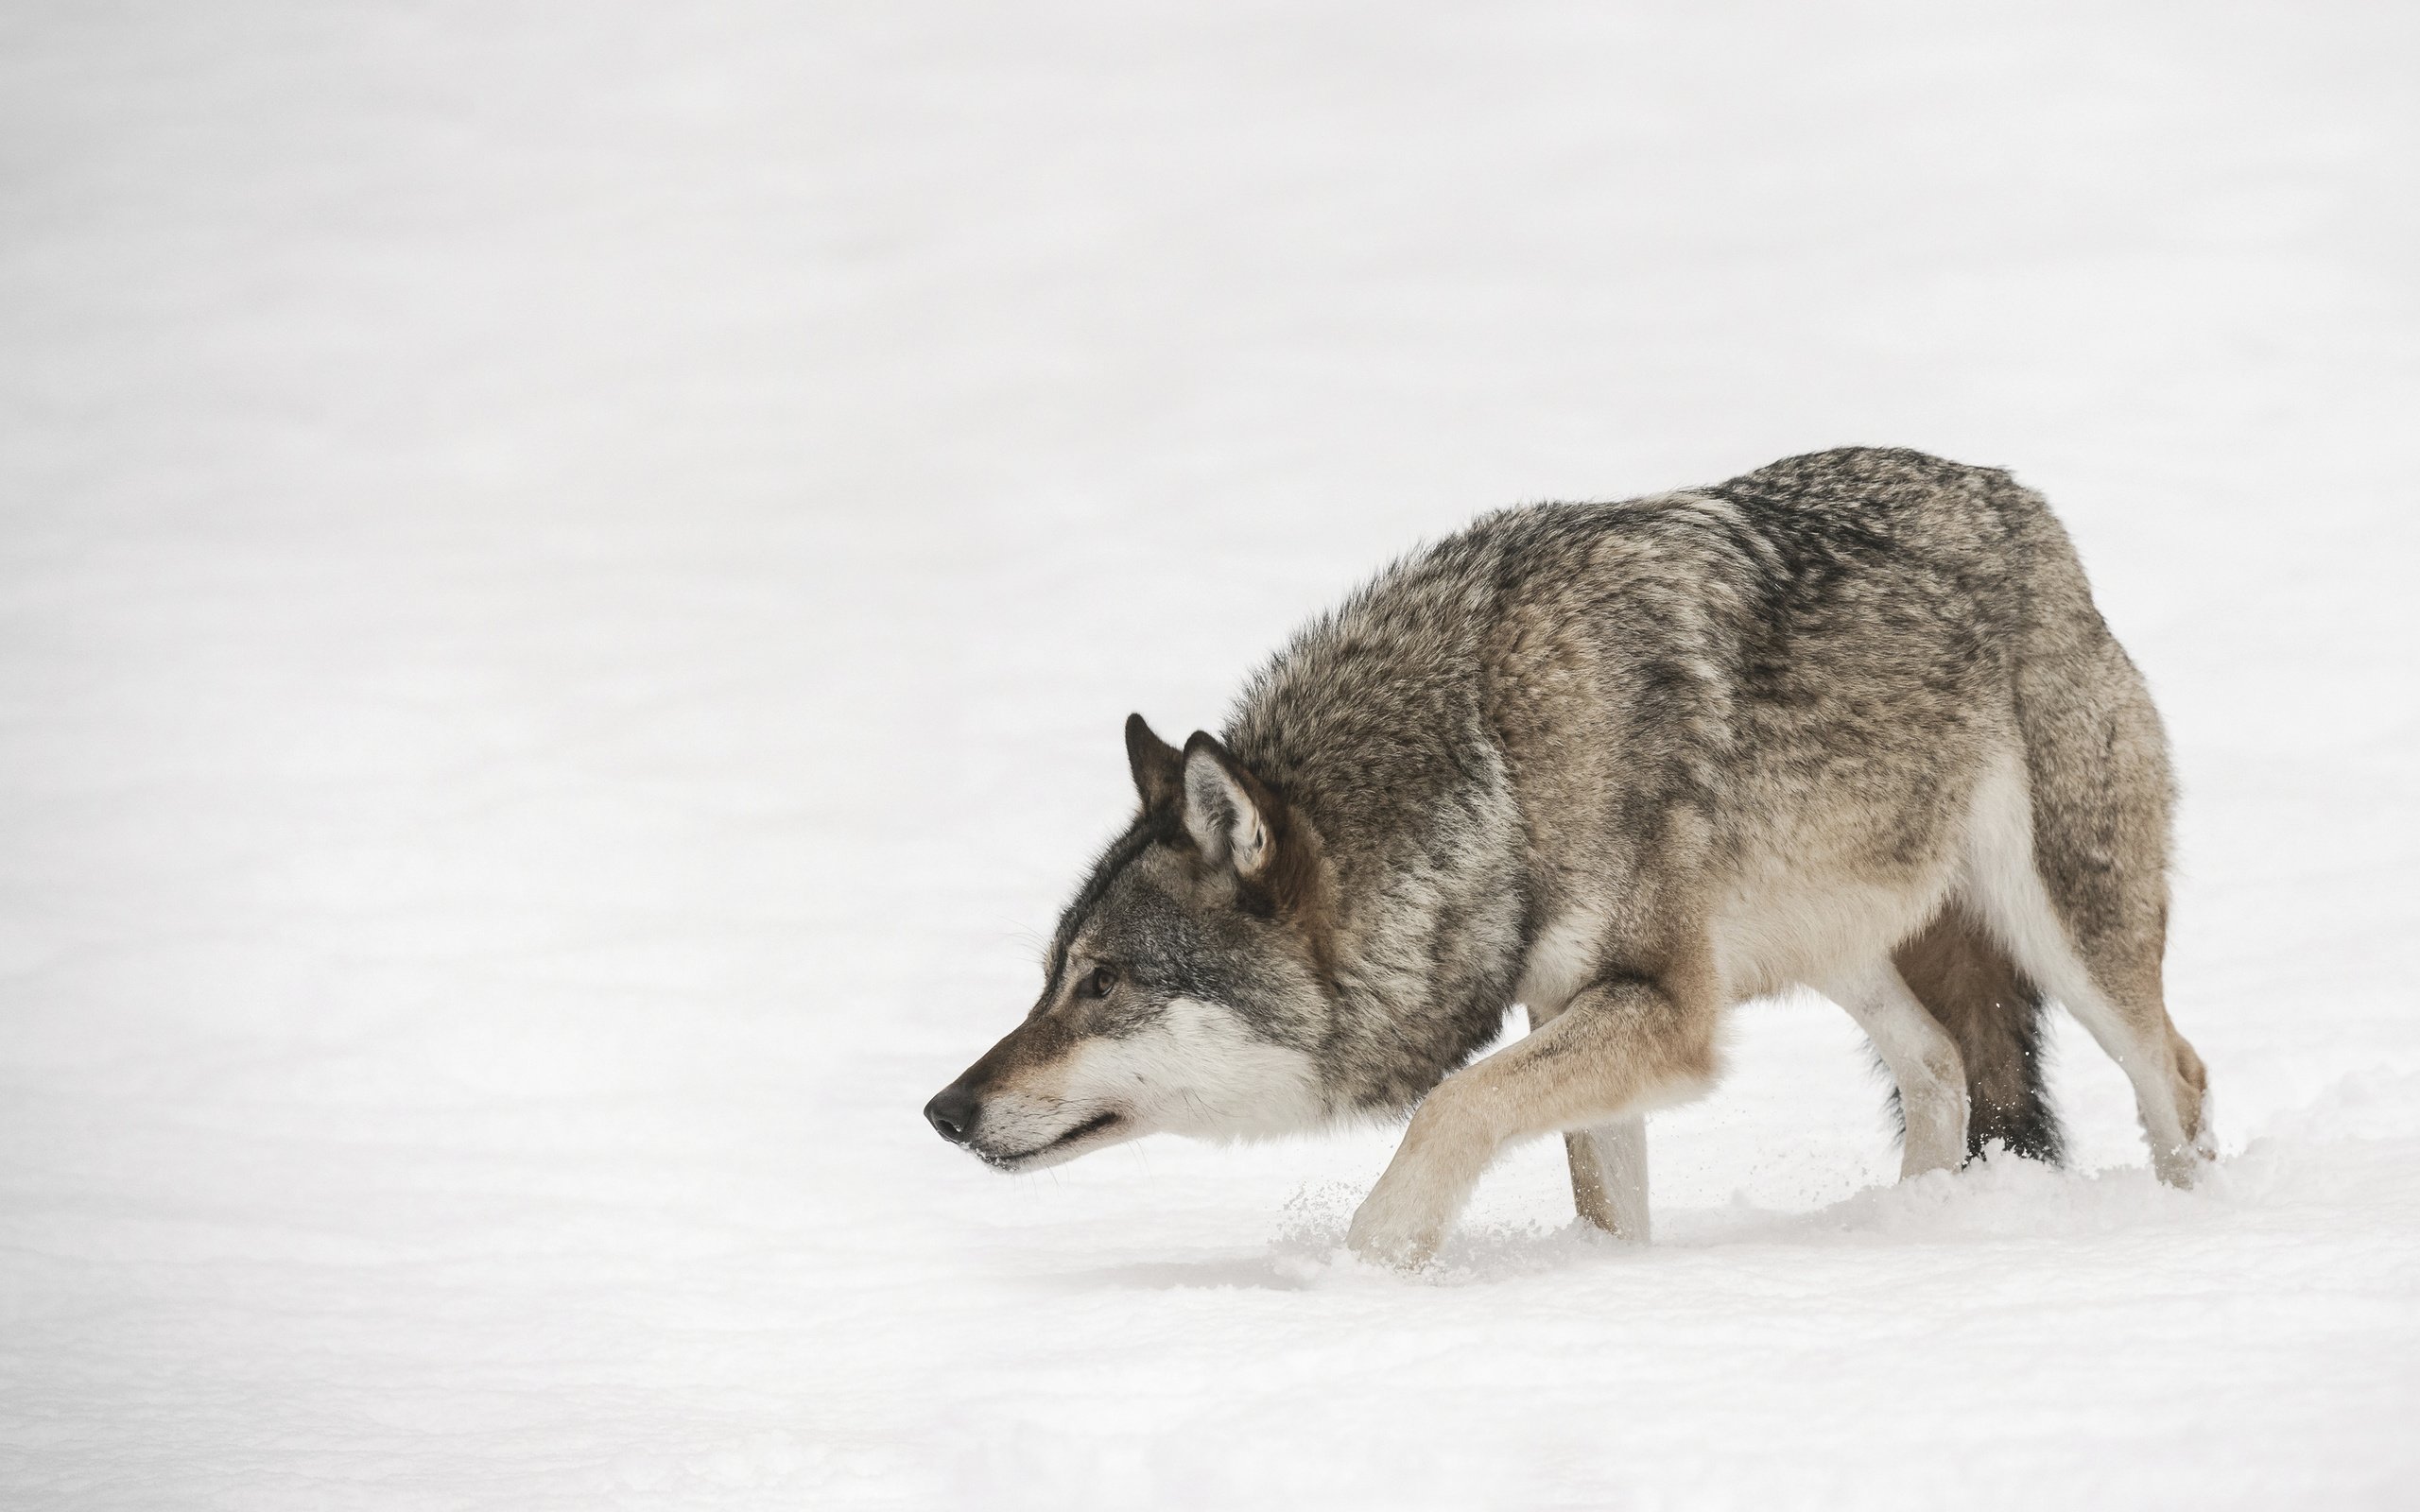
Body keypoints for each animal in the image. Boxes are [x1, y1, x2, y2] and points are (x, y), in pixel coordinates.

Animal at [919, 445, 2216, 1258]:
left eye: (1102, 983)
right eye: (1053, 979)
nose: (941, 1108)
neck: (1496, 766)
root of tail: (2022, 505)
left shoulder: (1656, 1009)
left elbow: (1451, 1107)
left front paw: (1363, 1270)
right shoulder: (1578, 1004)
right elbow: (1595, 1195)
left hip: (2068, 936)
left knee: (2177, 1077)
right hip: (1830, 946)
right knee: (1943, 1064)